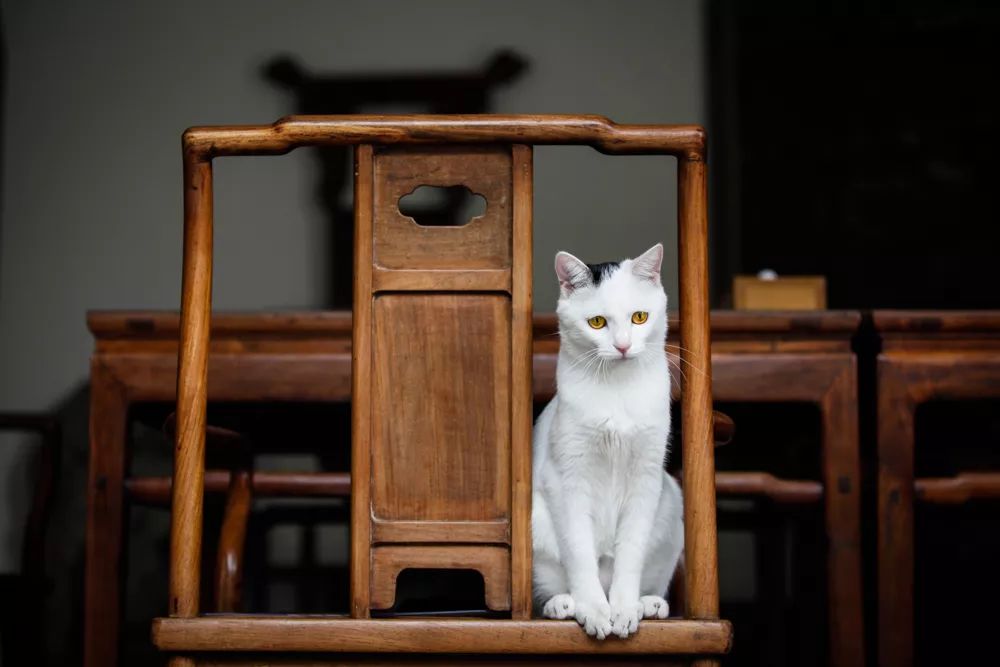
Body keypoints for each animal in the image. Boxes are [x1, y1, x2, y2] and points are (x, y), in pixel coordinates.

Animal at [532, 245, 688, 640]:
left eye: (639, 317)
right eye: (597, 322)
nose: (622, 346)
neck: (617, 392)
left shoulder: (646, 479)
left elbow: (630, 553)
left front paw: (623, 610)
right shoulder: (567, 481)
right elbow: (579, 552)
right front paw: (594, 611)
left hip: (671, 505)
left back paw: (649, 604)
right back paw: (562, 604)